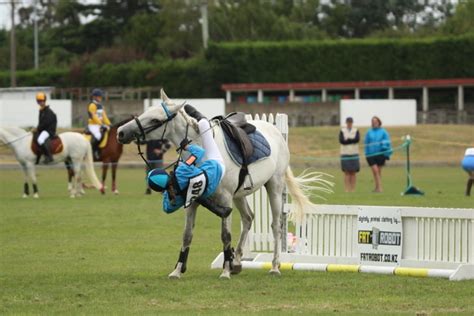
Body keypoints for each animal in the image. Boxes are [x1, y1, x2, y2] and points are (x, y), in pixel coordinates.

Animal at [116, 89, 332, 278]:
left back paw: (274, 266)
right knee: (248, 218)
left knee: (276, 225)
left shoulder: (225, 200)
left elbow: (225, 235)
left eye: (155, 120)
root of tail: (275, 131)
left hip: (274, 186)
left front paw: (225, 272)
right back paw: (236, 261)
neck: (202, 152)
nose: (120, 132)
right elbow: (187, 235)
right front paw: (177, 271)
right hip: (240, 195)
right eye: (145, 113)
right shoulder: (193, 201)